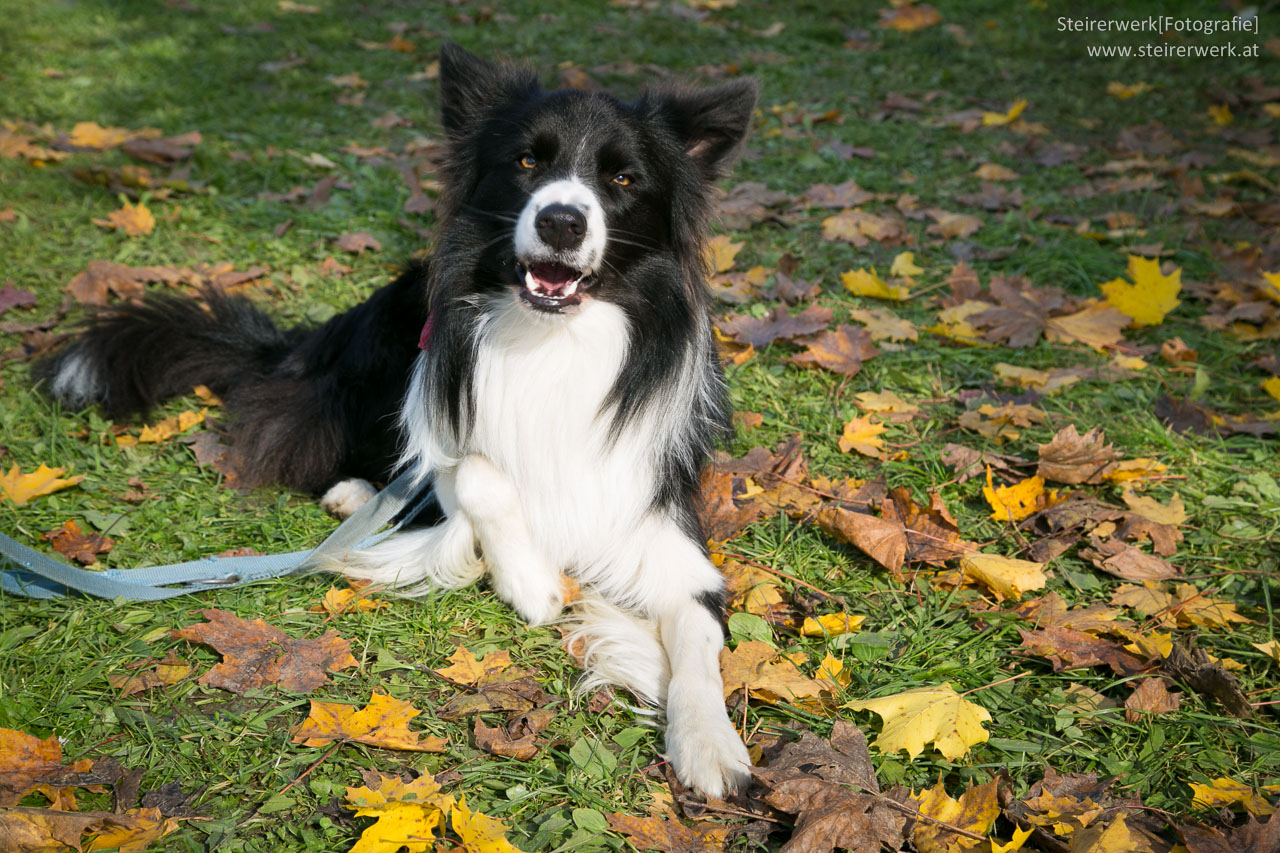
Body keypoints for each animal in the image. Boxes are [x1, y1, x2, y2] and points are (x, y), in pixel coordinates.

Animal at [40, 43, 757, 794]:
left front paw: (709, 742)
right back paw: (352, 492)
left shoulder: (665, 535)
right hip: (385, 329)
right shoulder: (439, 429)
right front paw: (531, 583)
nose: (562, 220)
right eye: (526, 162)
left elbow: (698, 644)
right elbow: (473, 472)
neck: (553, 343)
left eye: (622, 177)